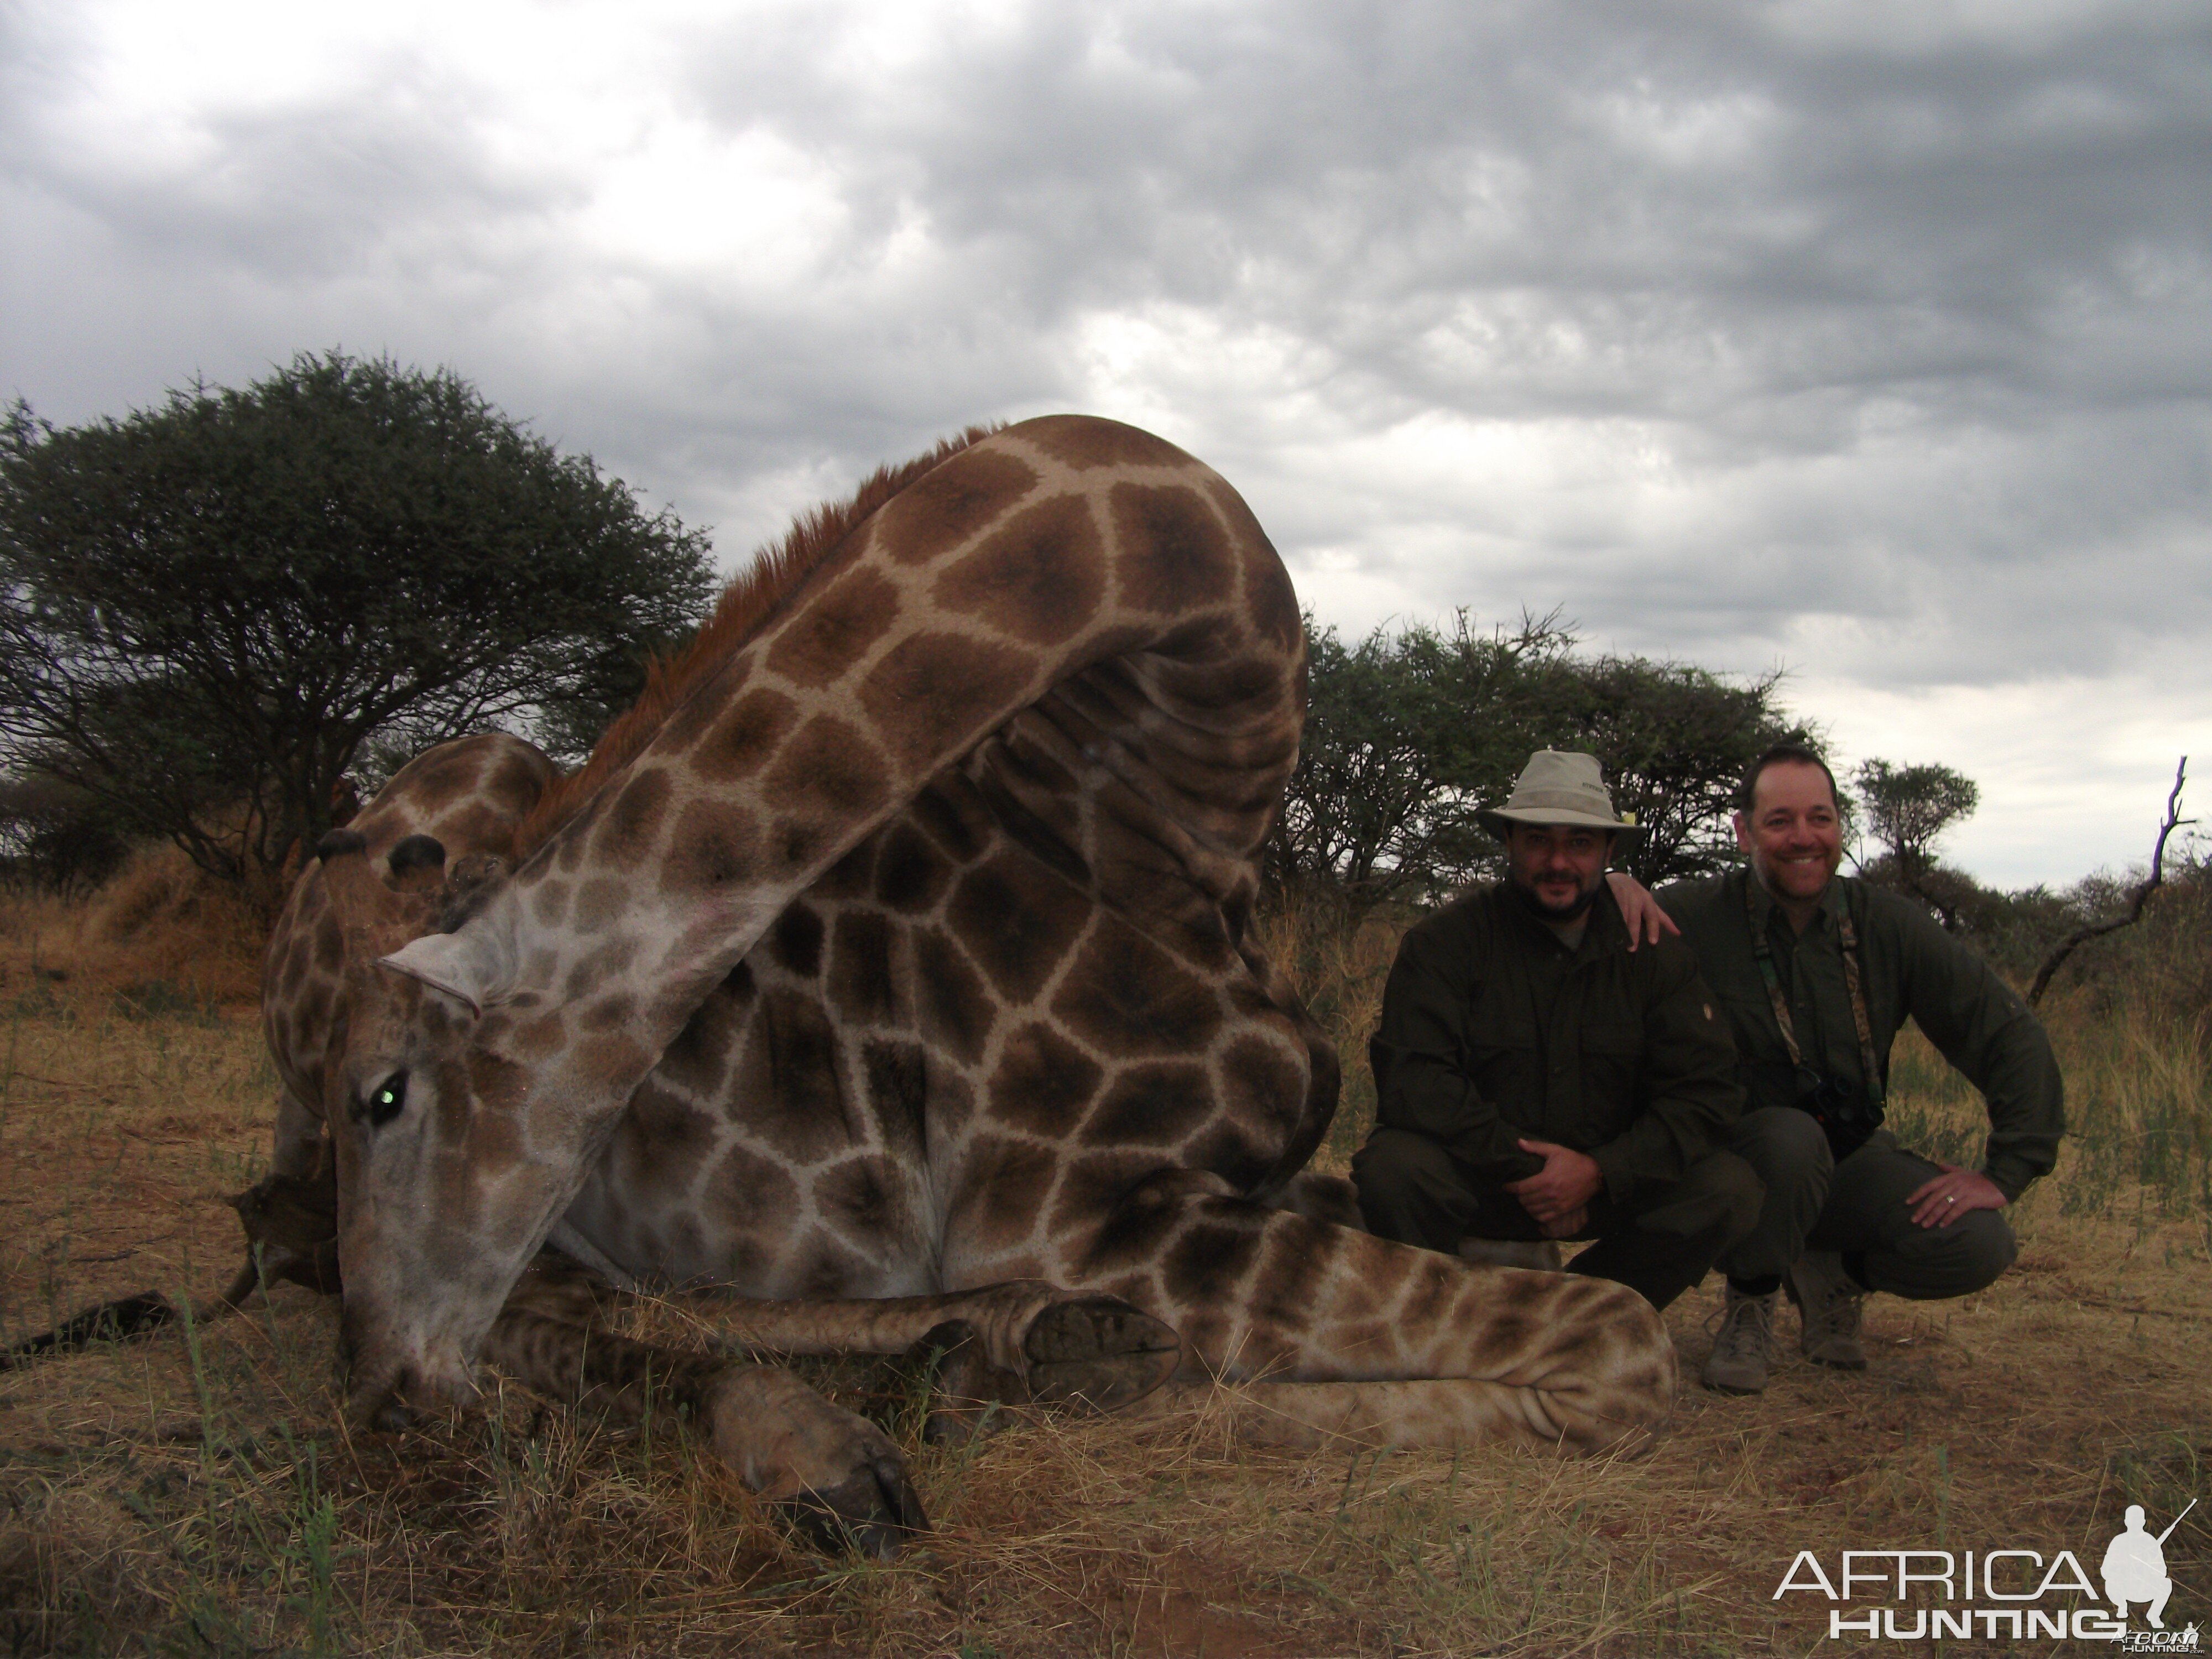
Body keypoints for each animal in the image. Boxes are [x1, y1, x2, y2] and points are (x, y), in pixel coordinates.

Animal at [281, 414, 1672, 1548]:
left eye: (388, 1097)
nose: (379, 1389)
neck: (1168, 830)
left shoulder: (1260, 1175)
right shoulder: (1088, 1216)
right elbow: (1620, 1341)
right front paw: (1116, 1389)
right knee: (560, 1312)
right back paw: (896, 1422)